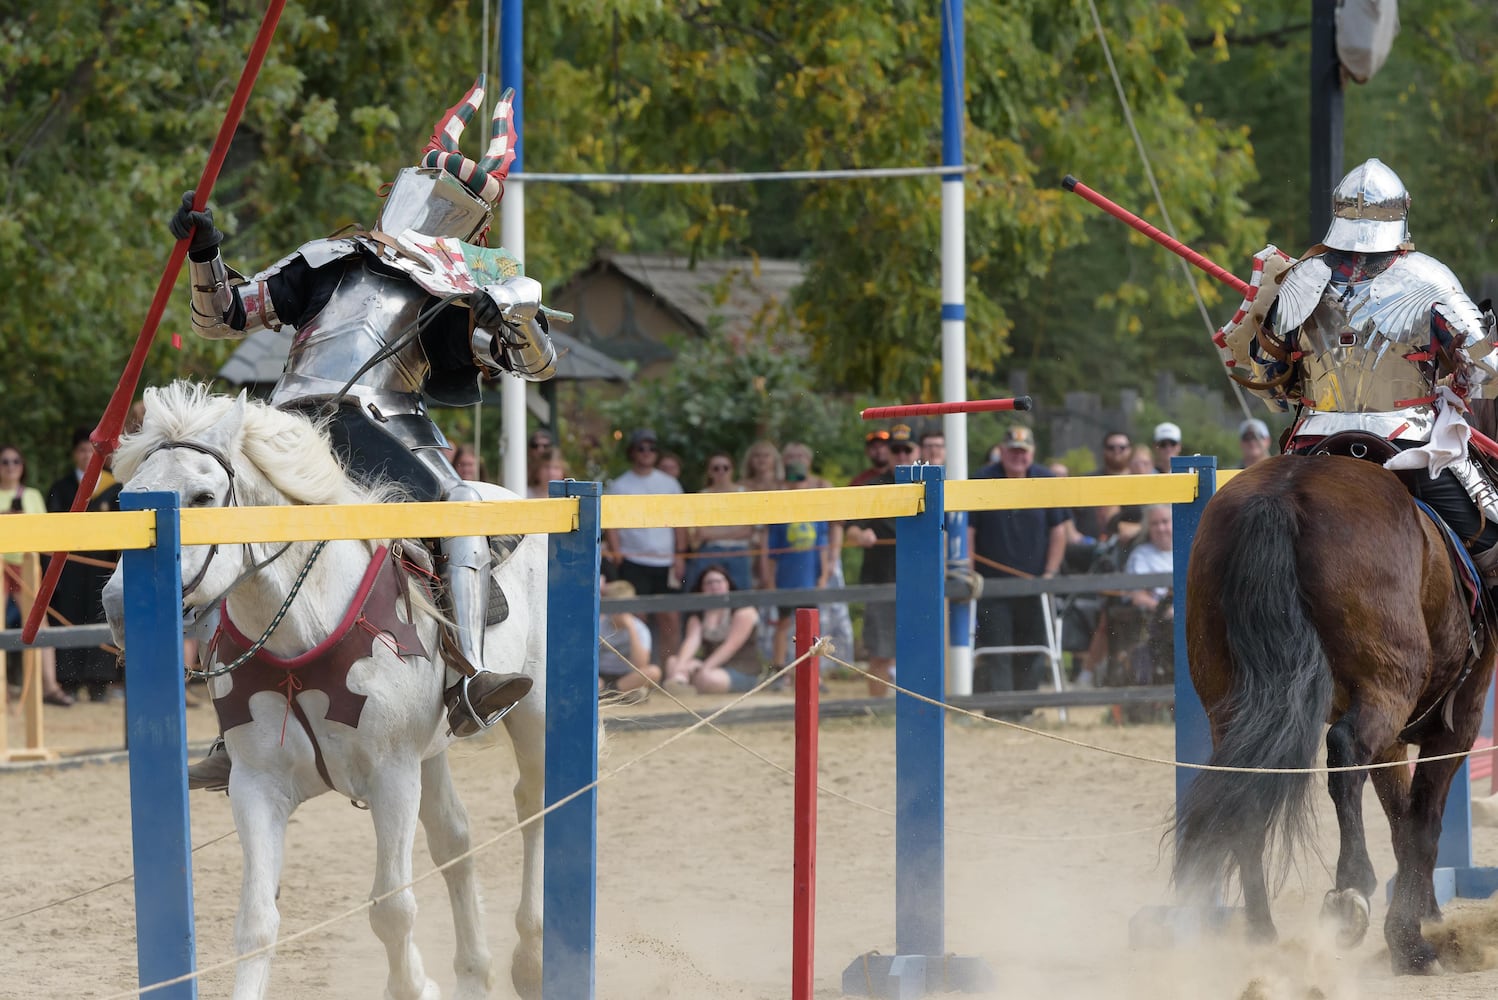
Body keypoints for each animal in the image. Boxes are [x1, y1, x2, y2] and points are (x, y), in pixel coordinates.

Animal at [105, 383, 551, 999]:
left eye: (201, 496)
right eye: (129, 497)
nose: (119, 607)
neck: (303, 627)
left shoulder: (391, 778)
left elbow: (392, 910)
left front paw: (412, 985)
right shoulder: (258, 786)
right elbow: (257, 924)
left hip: (533, 709)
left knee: (533, 803)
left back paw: (530, 958)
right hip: (429, 753)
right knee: (454, 840)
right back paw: (473, 971)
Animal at [1174, 452, 1492, 976]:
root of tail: (1282, 494)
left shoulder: (1395, 740)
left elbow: (1402, 818)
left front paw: (1420, 912)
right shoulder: (1456, 726)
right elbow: (1421, 825)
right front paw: (1409, 940)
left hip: (1233, 700)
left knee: (1244, 786)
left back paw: (1261, 934)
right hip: (1386, 686)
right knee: (1344, 751)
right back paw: (1352, 885)